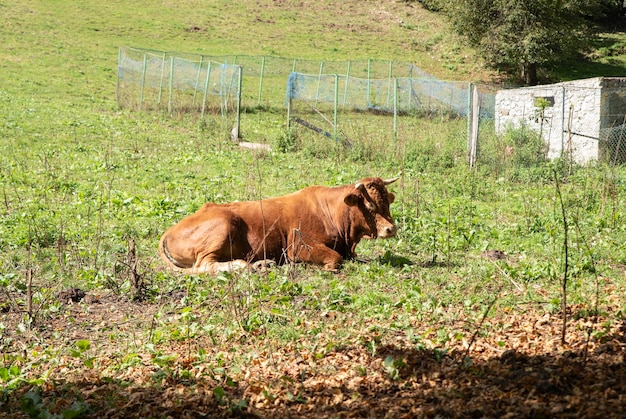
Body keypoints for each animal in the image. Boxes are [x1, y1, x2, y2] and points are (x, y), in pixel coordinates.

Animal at [158, 177, 398, 276]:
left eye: (387, 203)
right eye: (369, 206)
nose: (391, 229)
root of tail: (169, 231)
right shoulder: (299, 247)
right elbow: (335, 260)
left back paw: (261, 264)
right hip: (222, 226)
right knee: (204, 266)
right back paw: (247, 266)